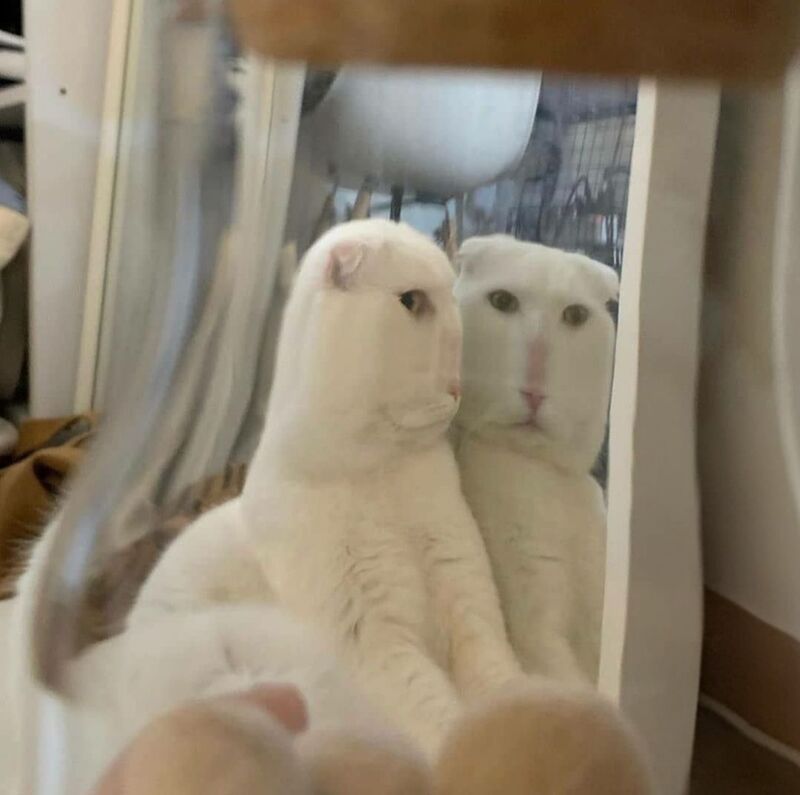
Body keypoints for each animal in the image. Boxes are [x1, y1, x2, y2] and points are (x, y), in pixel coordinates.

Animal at [126, 219, 524, 757]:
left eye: (454, 299)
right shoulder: (375, 651)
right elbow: (442, 721)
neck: (381, 475)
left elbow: (504, 683)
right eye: (412, 301)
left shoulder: (471, 611)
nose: (458, 386)